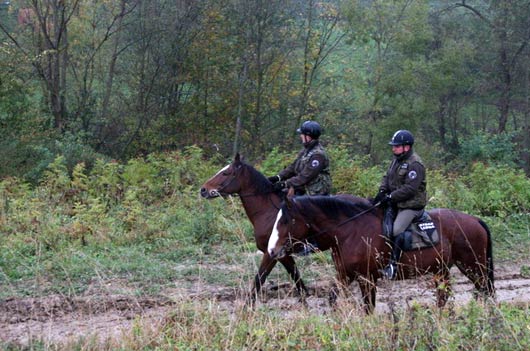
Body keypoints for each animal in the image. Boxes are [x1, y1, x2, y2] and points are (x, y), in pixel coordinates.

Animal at [199, 155, 310, 306]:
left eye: (226, 173)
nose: (203, 190)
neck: (270, 213)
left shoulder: (271, 255)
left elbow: (259, 279)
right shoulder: (283, 255)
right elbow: (296, 277)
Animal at [266, 195, 492, 314]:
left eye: (286, 221)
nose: (271, 250)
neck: (350, 231)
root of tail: (475, 220)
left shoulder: (367, 278)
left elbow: (368, 307)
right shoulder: (345, 275)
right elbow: (332, 298)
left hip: (473, 266)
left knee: (485, 290)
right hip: (443, 270)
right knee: (446, 296)